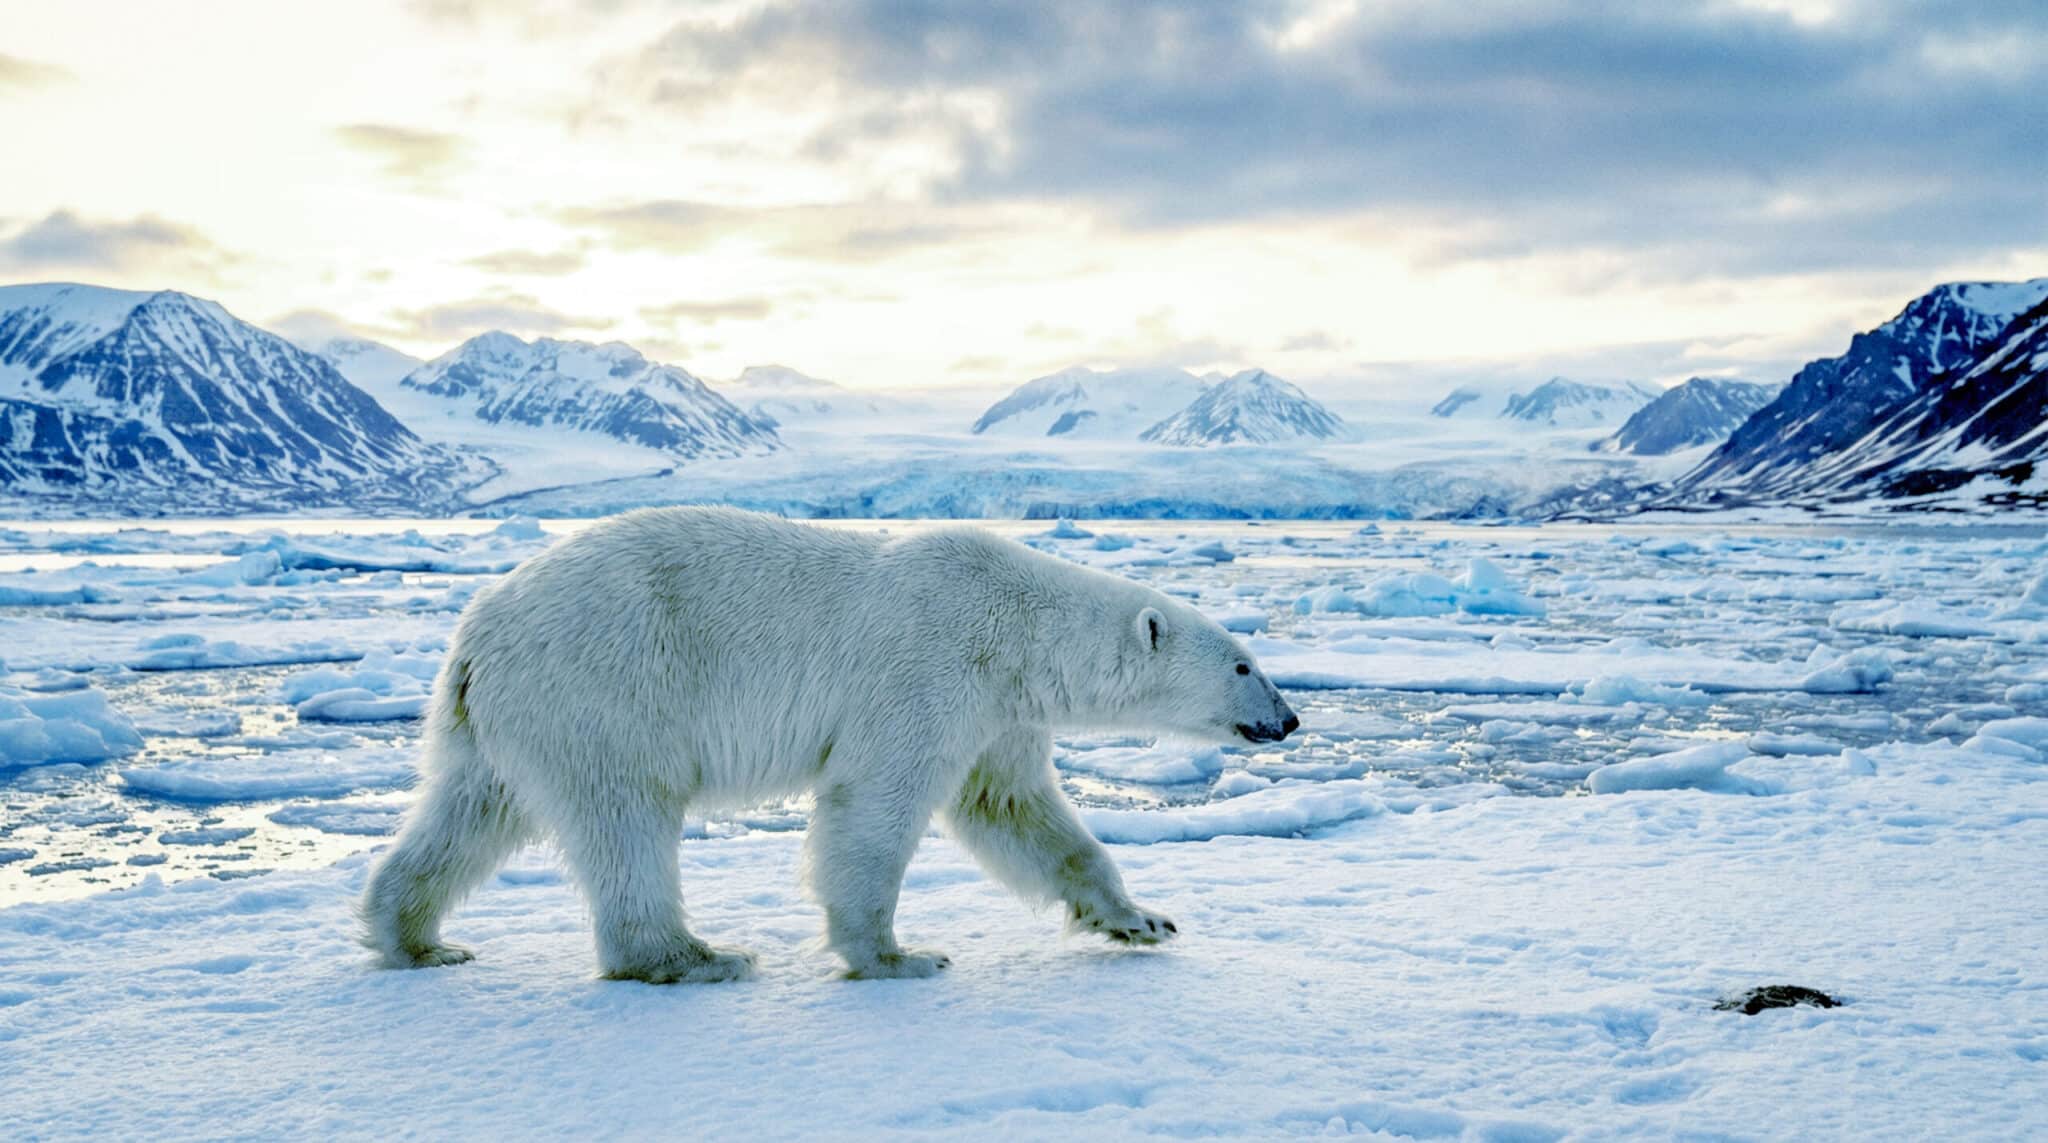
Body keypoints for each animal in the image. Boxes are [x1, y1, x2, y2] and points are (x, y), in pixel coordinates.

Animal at [361, 506, 1298, 982]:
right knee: (626, 818)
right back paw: (694, 956)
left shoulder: (1000, 710)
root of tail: (477, 631)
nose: (1289, 718)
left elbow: (1020, 812)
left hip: (505, 718)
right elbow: (875, 803)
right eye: (1245, 663)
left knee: (467, 811)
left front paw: (1142, 918)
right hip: (607, 686)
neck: (1020, 625)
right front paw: (897, 954)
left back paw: (414, 937)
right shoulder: (929, 665)